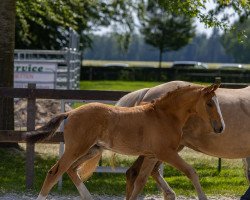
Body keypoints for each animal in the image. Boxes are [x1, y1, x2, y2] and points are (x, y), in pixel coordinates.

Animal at [25, 83, 224, 200]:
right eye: (209, 103)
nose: (220, 128)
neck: (164, 116)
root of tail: (71, 112)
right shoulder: (166, 153)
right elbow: (191, 172)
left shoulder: (151, 155)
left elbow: (140, 181)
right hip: (76, 148)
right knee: (55, 172)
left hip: (92, 149)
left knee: (72, 170)